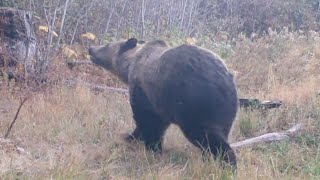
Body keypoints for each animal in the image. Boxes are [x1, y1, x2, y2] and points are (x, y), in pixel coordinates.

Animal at [89, 37, 239, 169]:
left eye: (107, 45)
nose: (90, 48)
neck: (130, 65)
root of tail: (225, 81)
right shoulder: (161, 104)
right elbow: (159, 124)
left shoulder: (145, 93)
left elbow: (147, 121)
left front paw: (147, 144)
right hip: (225, 112)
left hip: (196, 104)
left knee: (208, 136)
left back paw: (227, 166)